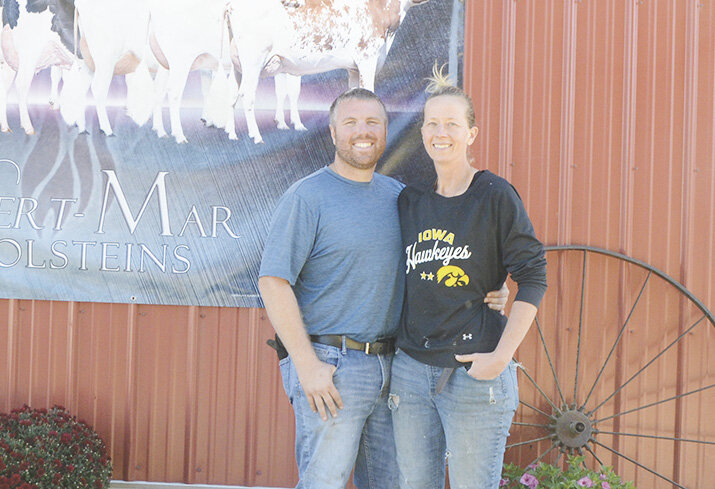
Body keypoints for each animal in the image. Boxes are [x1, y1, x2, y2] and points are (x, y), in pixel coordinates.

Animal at [0, 0, 75, 133]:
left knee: (4, 87)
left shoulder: (58, 53)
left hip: (9, 57)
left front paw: (54, 103)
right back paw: (28, 127)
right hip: (29, 55)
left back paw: (5, 126)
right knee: (21, 85)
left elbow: (56, 75)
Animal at [228, 0, 430, 143]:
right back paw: (256, 136)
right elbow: (369, 94)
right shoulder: (367, 58)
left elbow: (355, 96)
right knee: (247, 96)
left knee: (231, 97)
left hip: (235, 68)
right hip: (253, 63)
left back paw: (232, 134)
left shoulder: (353, 68)